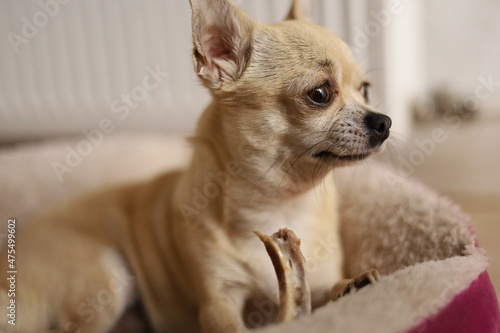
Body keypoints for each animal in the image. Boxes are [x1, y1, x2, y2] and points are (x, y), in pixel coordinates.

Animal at [0, 0, 390, 330]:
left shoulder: (311, 279)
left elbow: (324, 290)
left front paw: (353, 284)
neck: (279, 203)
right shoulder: (217, 302)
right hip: (104, 280)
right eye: (319, 94)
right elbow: (229, 323)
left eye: (366, 89)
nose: (383, 121)